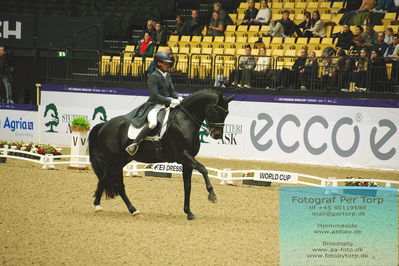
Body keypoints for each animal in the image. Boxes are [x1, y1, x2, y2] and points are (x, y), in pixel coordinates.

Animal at [88, 89, 234, 220]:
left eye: (226, 113)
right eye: (217, 110)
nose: (217, 135)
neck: (185, 120)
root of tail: (104, 125)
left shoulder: (187, 161)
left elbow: (187, 185)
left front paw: (189, 212)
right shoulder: (183, 155)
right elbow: (203, 169)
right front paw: (212, 195)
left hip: (121, 160)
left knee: (104, 178)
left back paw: (98, 206)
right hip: (115, 161)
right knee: (118, 185)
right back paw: (134, 210)